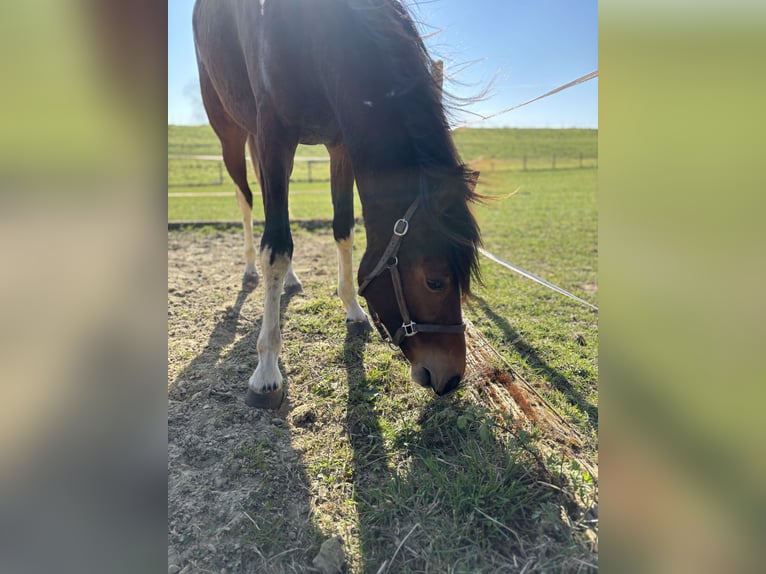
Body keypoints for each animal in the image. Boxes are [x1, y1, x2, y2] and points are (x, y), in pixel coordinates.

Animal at [192, 0, 481, 408]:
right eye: (435, 281)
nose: (452, 376)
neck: (319, 35)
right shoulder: (275, 134)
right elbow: (276, 250)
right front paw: (266, 372)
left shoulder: (339, 144)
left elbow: (343, 229)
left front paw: (352, 308)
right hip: (231, 132)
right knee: (246, 201)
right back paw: (250, 268)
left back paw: (291, 279)